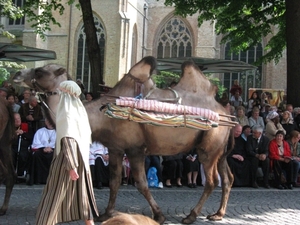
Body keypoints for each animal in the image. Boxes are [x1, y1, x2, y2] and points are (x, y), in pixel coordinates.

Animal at [13, 55, 234, 223]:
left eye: (40, 72)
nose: (17, 74)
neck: (102, 115)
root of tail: (226, 112)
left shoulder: (135, 149)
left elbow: (141, 184)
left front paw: (159, 215)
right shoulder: (116, 149)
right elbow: (114, 181)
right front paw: (106, 214)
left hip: (208, 148)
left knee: (212, 181)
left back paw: (191, 216)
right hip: (220, 150)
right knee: (227, 178)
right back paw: (218, 214)